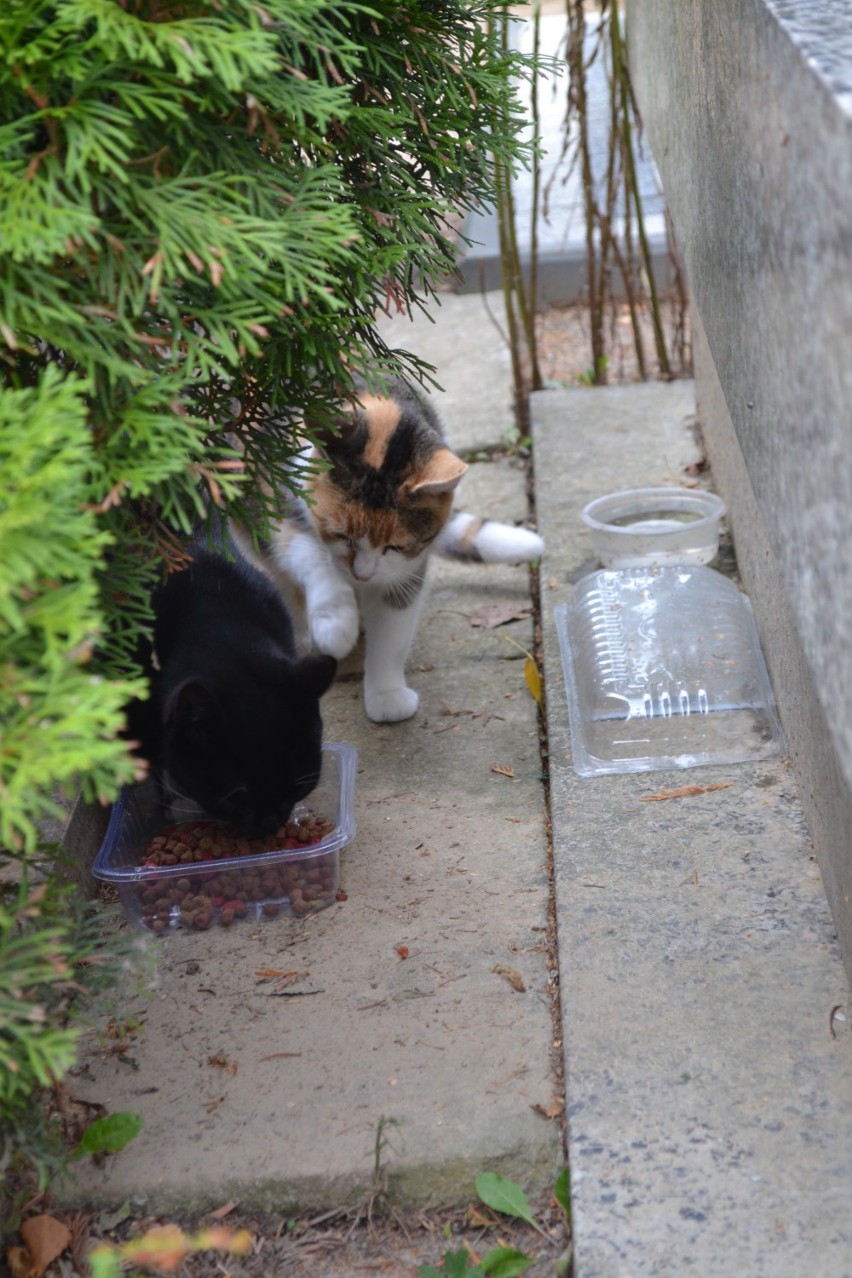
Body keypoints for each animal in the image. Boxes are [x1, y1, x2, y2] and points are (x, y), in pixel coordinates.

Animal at [229, 373, 544, 725]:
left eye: (394, 546)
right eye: (342, 535)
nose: (363, 575)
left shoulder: (407, 568)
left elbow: (392, 634)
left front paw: (386, 695)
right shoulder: (270, 508)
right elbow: (309, 556)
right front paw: (334, 624)